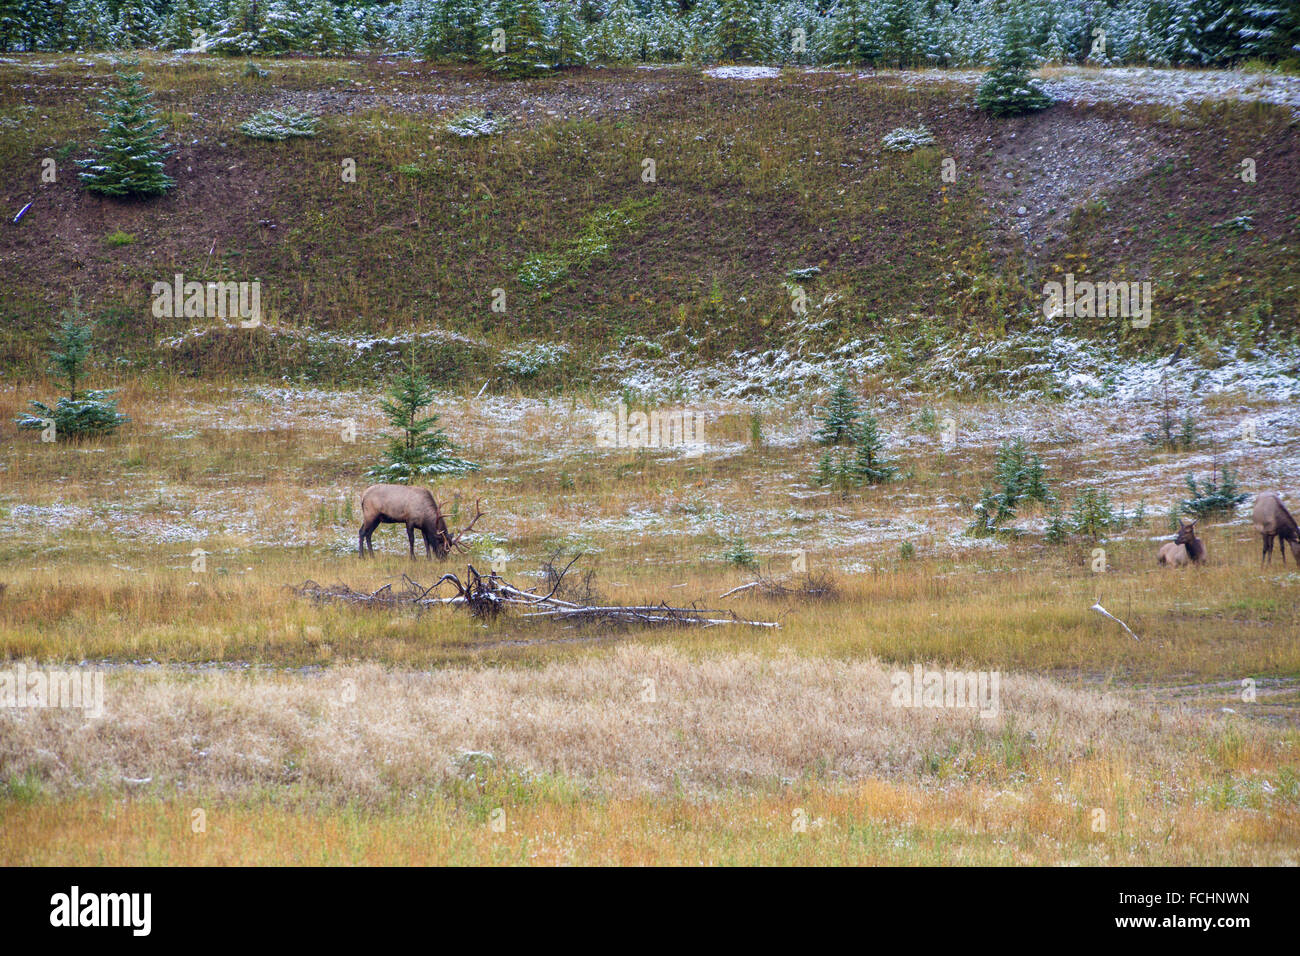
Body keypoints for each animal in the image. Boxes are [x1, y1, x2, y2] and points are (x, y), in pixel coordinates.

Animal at [358, 486, 486, 561]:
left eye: (449, 548)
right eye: (441, 544)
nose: (443, 559)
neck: (425, 516)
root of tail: (363, 496)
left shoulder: (423, 527)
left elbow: (426, 542)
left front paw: (429, 558)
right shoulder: (409, 520)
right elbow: (412, 539)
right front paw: (413, 558)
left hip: (376, 519)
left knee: (368, 534)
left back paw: (371, 555)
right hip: (370, 514)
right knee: (362, 532)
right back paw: (362, 556)